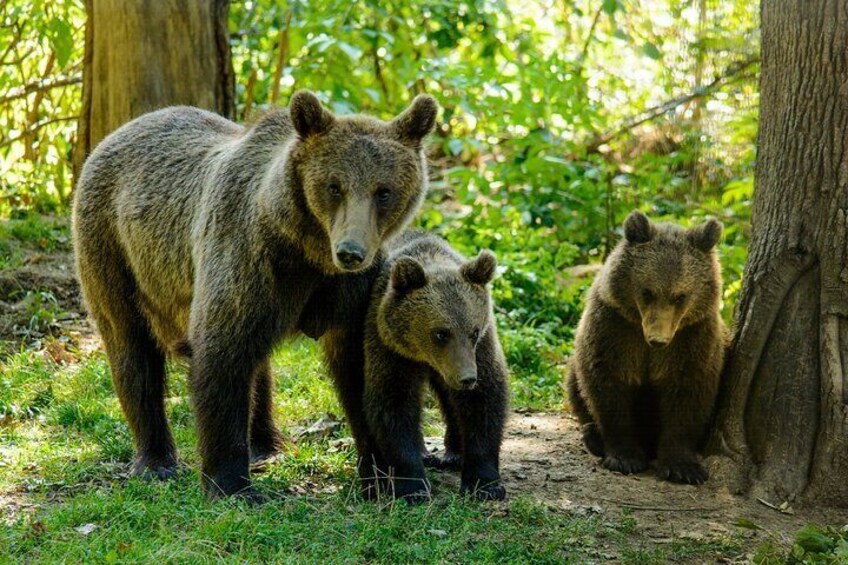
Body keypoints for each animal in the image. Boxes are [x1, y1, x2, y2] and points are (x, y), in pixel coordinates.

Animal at [73, 91, 438, 498]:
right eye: (334, 186)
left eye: (383, 191)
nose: (350, 251)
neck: (307, 251)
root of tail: (120, 130)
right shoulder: (250, 259)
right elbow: (223, 356)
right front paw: (231, 483)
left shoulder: (352, 293)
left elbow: (361, 371)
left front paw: (382, 473)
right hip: (114, 249)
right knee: (131, 347)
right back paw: (156, 460)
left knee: (258, 363)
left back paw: (264, 442)